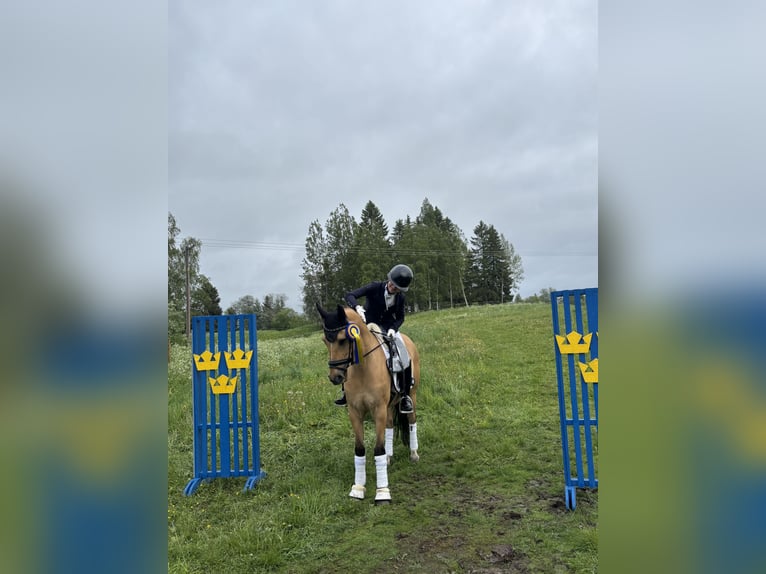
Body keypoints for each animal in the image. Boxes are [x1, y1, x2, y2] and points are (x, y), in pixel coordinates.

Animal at [316, 303, 420, 505]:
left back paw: (413, 454)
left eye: (343, 340)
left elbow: (378, 449)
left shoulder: (377, 410)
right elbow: (359, 449)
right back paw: (389, 458)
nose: (335, 377)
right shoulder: (355, 412)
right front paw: (357, 488)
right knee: (389, 426)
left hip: (410, 396)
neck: (363, 369)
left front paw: (382, 492)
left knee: (411, 422)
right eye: (325, 340)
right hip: (389, 406)